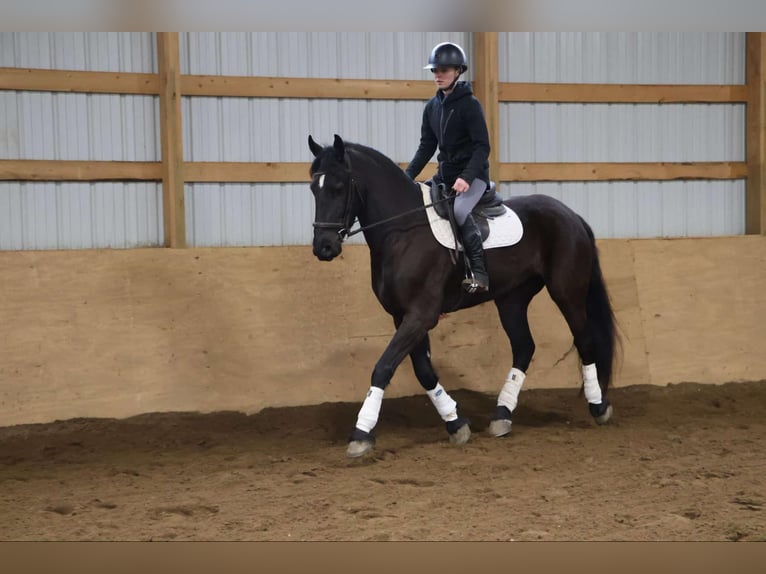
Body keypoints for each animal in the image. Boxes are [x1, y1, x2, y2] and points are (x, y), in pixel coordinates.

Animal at [308, 134, 617, 458]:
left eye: (338, 187)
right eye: (314, 188)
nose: (324, 247)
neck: (403, 232)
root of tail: (571, 215)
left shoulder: (420, 315)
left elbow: (383, 367)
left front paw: (361, 433)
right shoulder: (403, 316)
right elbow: (424, 371)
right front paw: (455, 423)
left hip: (566, 291)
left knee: (584, 340)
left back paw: (598, 406)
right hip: (512, 299)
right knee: (524, 347)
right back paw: (502, 415)